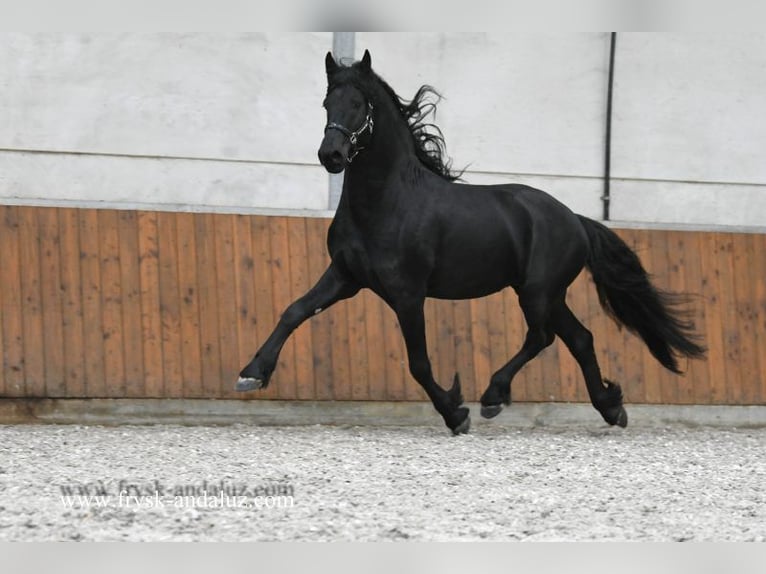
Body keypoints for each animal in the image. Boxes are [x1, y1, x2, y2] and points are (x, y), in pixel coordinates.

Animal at [237, 49, 706, 434]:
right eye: (327, 103)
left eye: (359, 104)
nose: (331, 156)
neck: (388, 202)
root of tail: (574, 219)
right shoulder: (345, 277)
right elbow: (294, 311)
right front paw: (252, 373)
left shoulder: (407, 294)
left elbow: (418, 362)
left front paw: (455, 413)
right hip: (547, 294)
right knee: (580, 339)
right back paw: (611, 408)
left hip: (536, 292)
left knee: (542, 337)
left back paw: (493, 397)